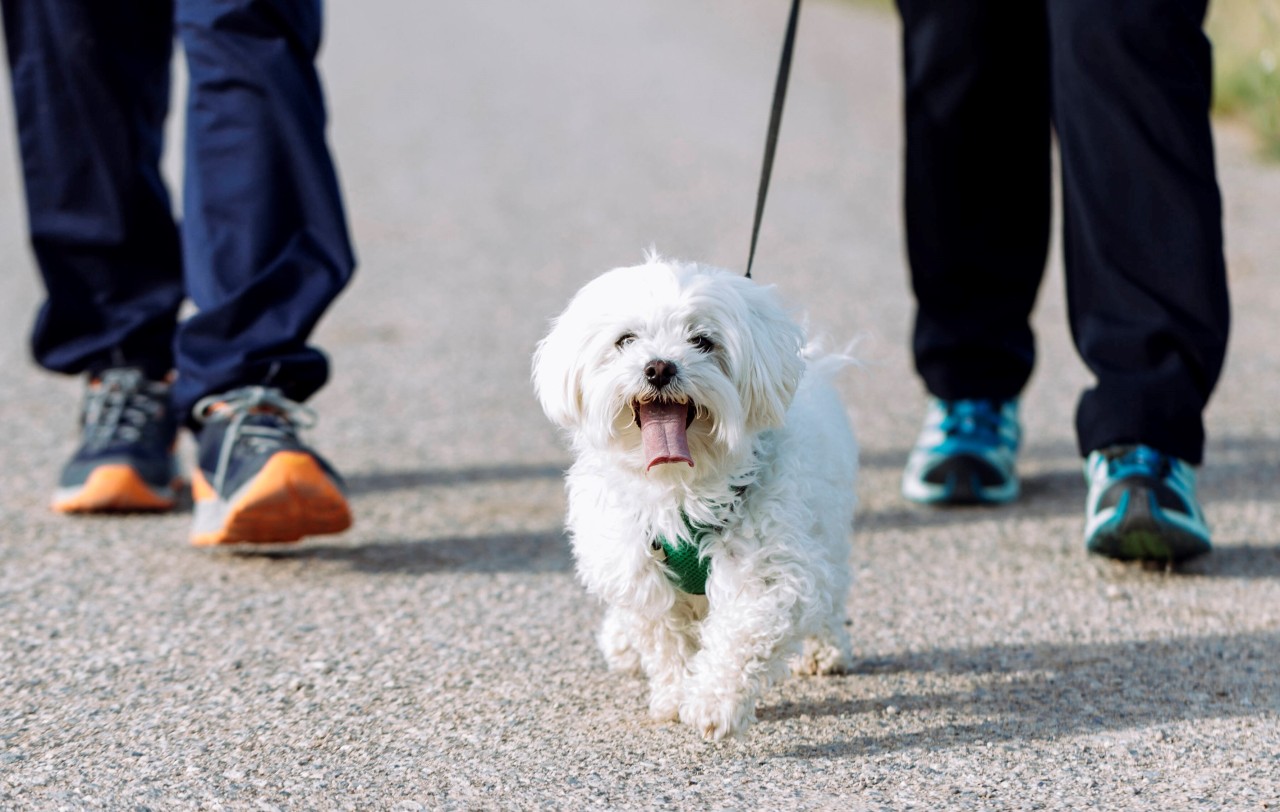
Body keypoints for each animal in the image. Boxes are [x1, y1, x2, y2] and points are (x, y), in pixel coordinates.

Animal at [532, 256, 860, 737]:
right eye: (625, 340)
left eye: (702, 341)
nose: (659, 368)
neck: (679, 485)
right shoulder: (640, 571)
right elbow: (664, 641)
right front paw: (673, 694)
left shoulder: (768, 569)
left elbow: (743, 635)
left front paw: (711, 702)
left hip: (827, 526)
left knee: (831, 591)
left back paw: (825, 649)